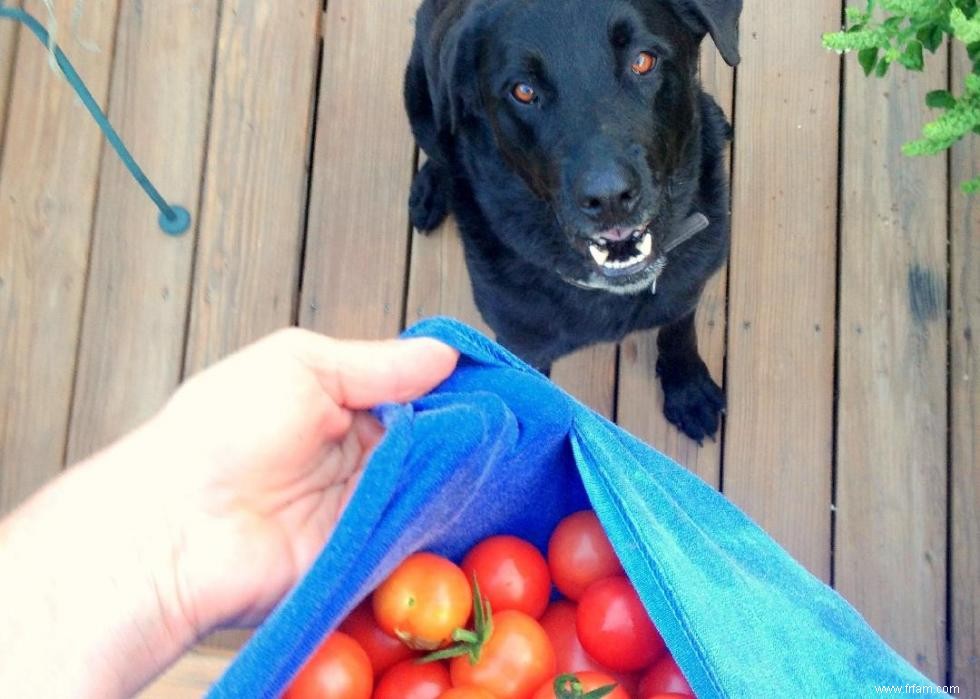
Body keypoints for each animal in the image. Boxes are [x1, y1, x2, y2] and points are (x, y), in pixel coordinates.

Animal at [402, 0, 740, 442]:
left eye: (643, 61)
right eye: (523, 91)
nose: (609, 197)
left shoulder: (687, 288)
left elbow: (679, 330)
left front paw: (687, 387)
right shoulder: (523, 344)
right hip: (419, 96)